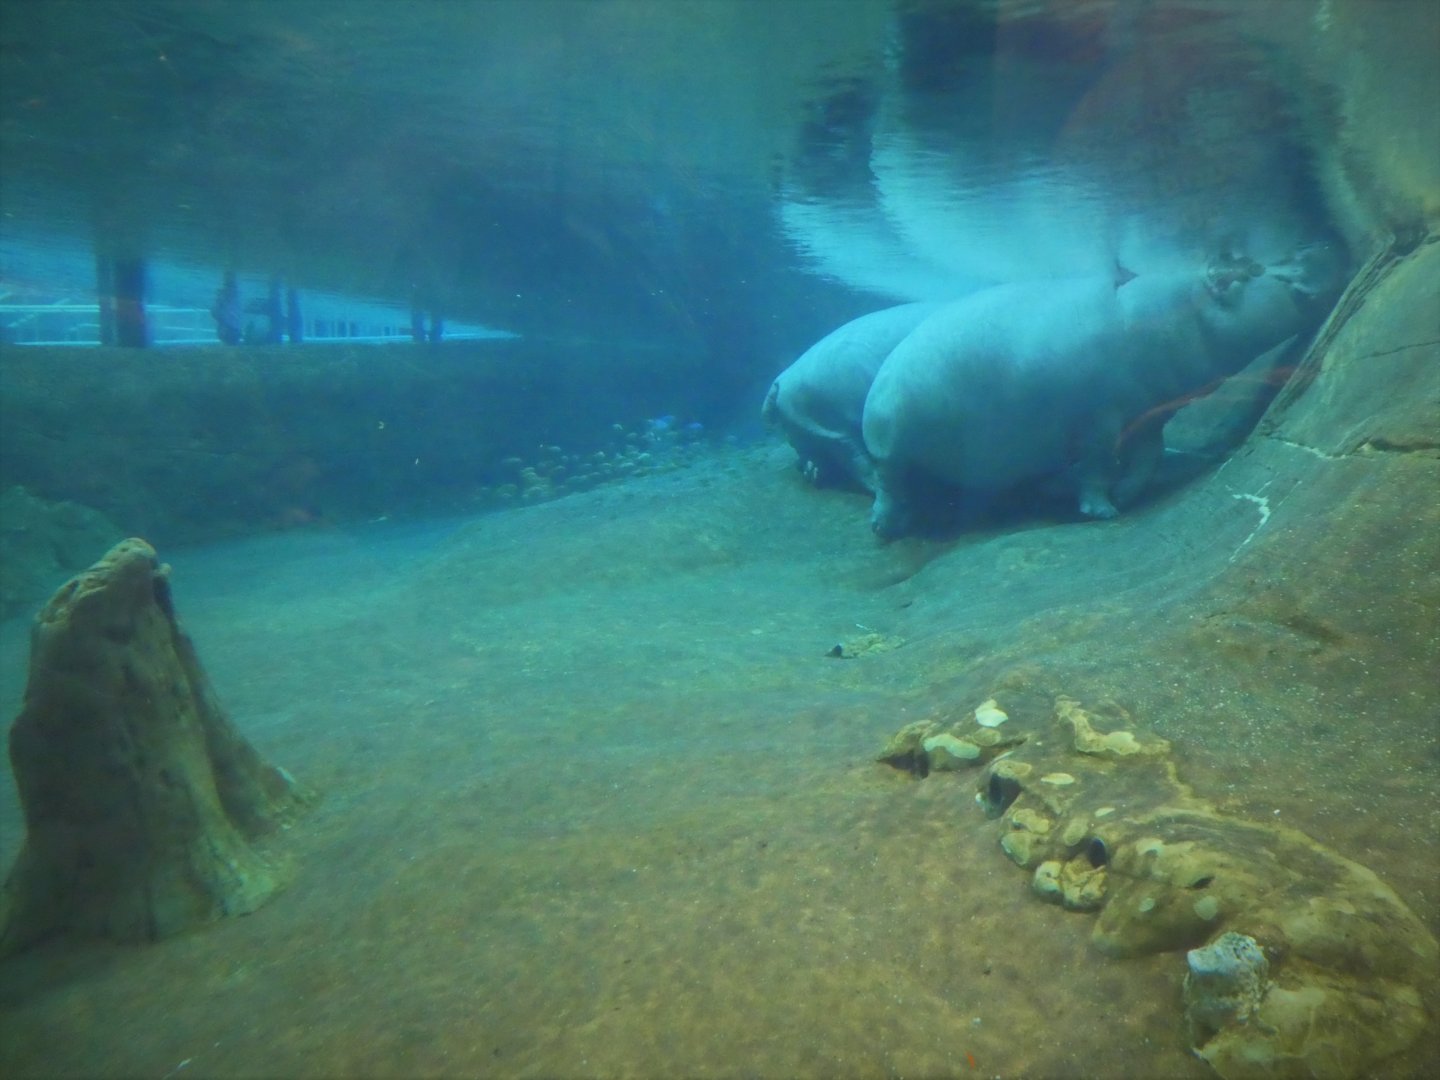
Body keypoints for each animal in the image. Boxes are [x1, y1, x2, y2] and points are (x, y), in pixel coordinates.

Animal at [762, 302, 940, 491]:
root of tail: (781, 380)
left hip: (803, 430)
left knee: (812, 457)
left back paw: (815, 473)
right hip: (838, 429)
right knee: (857, 462)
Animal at [861, 242, 1348, 537]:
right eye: (1246, 272)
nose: (1318, 248)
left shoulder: (1149, 415)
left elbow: (1148, 459)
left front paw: (1128, 496)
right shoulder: (1098, 420)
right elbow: (1098, 467)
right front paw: (1102, 511)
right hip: (890, 444)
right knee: (889, 483)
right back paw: (887, 528)